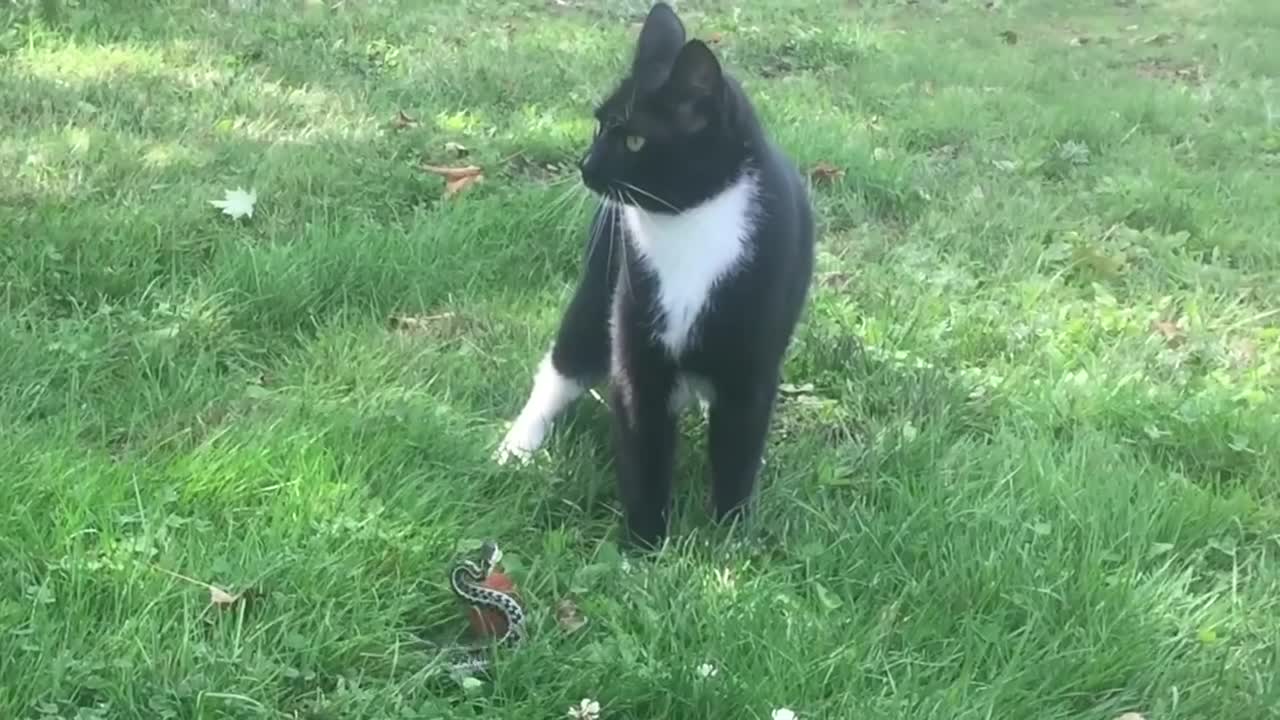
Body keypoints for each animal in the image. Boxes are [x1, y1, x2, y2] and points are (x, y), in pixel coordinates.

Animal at [494, 2, 814, 545]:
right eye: (598, 127)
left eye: (636, 139)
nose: (586, 166)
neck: (687, 227)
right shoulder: (637, 336)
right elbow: (642, 439)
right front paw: (644, 545)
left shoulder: (751, 363)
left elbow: (738, 443)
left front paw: (730, 536)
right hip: (597, 288)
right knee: (562, 365)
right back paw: (518, 445)